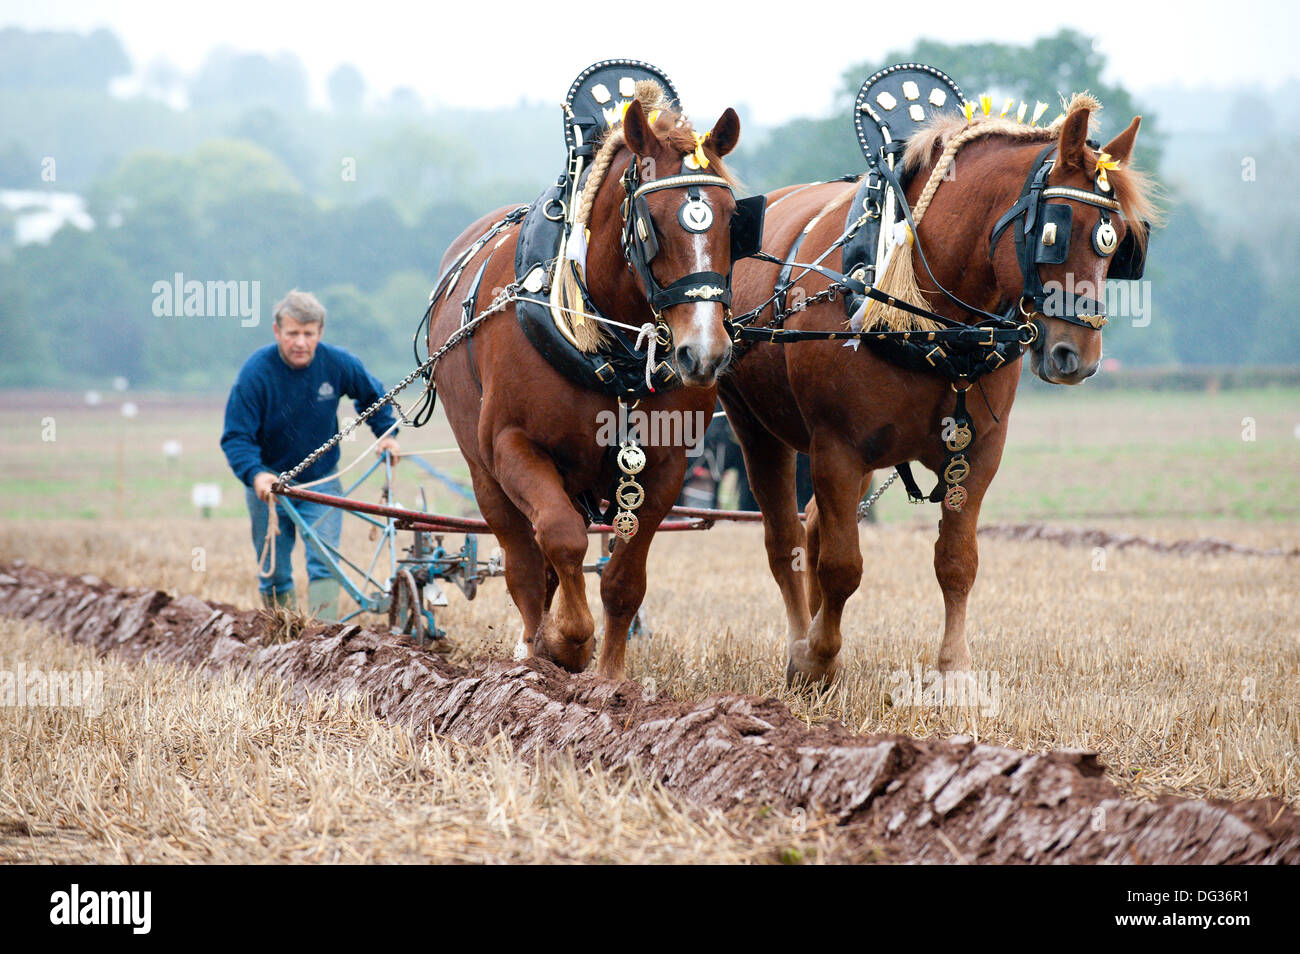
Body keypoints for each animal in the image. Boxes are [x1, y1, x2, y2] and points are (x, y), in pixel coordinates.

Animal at [431, 95, 748, 681]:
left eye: (732, 217)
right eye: (651, 223)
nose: (704, 352)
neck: (610, 352)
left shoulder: (665, 467)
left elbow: (624, 578)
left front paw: (610, 678)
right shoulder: (514, 446)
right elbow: (559, 538)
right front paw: (567, 644)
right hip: (485, 473)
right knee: (524, 563)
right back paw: (532, 648)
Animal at [722, 97, 1159, 686]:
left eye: (1118, 246)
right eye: (1054, 233)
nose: (1079, 358)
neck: (934, 323)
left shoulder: (975, 453)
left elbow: (957, 562)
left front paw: (954, 670)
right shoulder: (836, 448)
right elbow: (842, 566)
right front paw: (817, 659)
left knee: (811, 529)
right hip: (757, 430)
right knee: (785, 543)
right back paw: (799, 643)